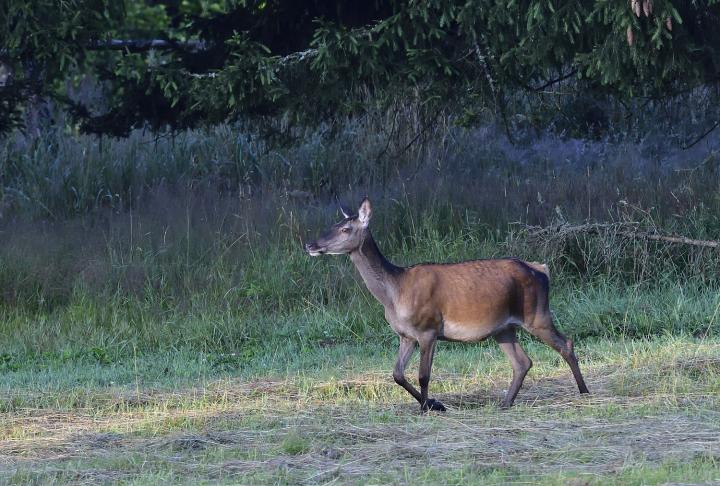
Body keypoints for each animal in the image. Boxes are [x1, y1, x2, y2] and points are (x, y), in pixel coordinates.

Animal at [306, 197, 592, 410]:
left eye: (346, 229)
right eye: (333, 223)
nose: (310, 244)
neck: (394, 292)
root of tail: (542, 269)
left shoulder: (428, 328)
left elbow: (423, 374)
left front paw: (427, 407)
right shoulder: (406, 335)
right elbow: (397, 374)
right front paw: (434, 404)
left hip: (537, 314)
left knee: (565, 344)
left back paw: (584, 391)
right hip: (504, 327)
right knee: (523, 362)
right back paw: (505, 402)